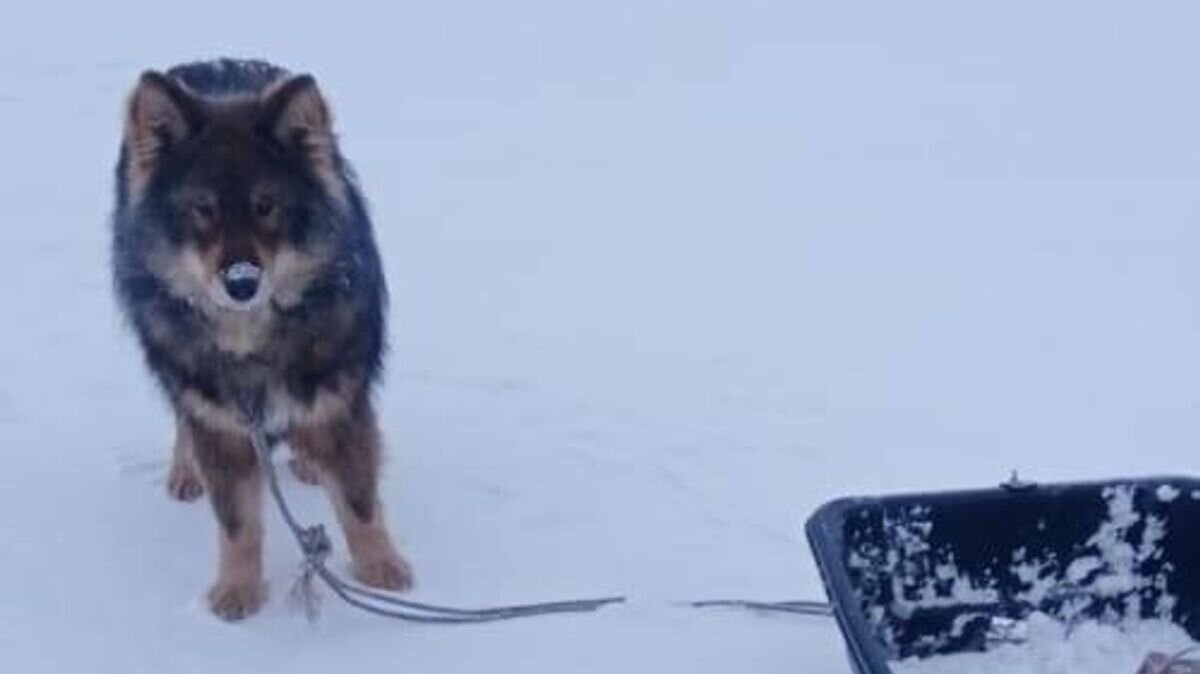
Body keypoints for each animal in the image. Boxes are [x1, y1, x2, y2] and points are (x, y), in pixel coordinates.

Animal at [112, 60, 412, 618]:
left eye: (266, 206)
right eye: (203, 208)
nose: (241, 282)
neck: (252, 338)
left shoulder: (340, 403)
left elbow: (359, 502)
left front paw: (381, 570)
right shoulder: (220, 423)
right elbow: (237, 523)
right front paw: (237, 590)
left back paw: (309, 462)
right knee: (182, 420)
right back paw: (185, 471)